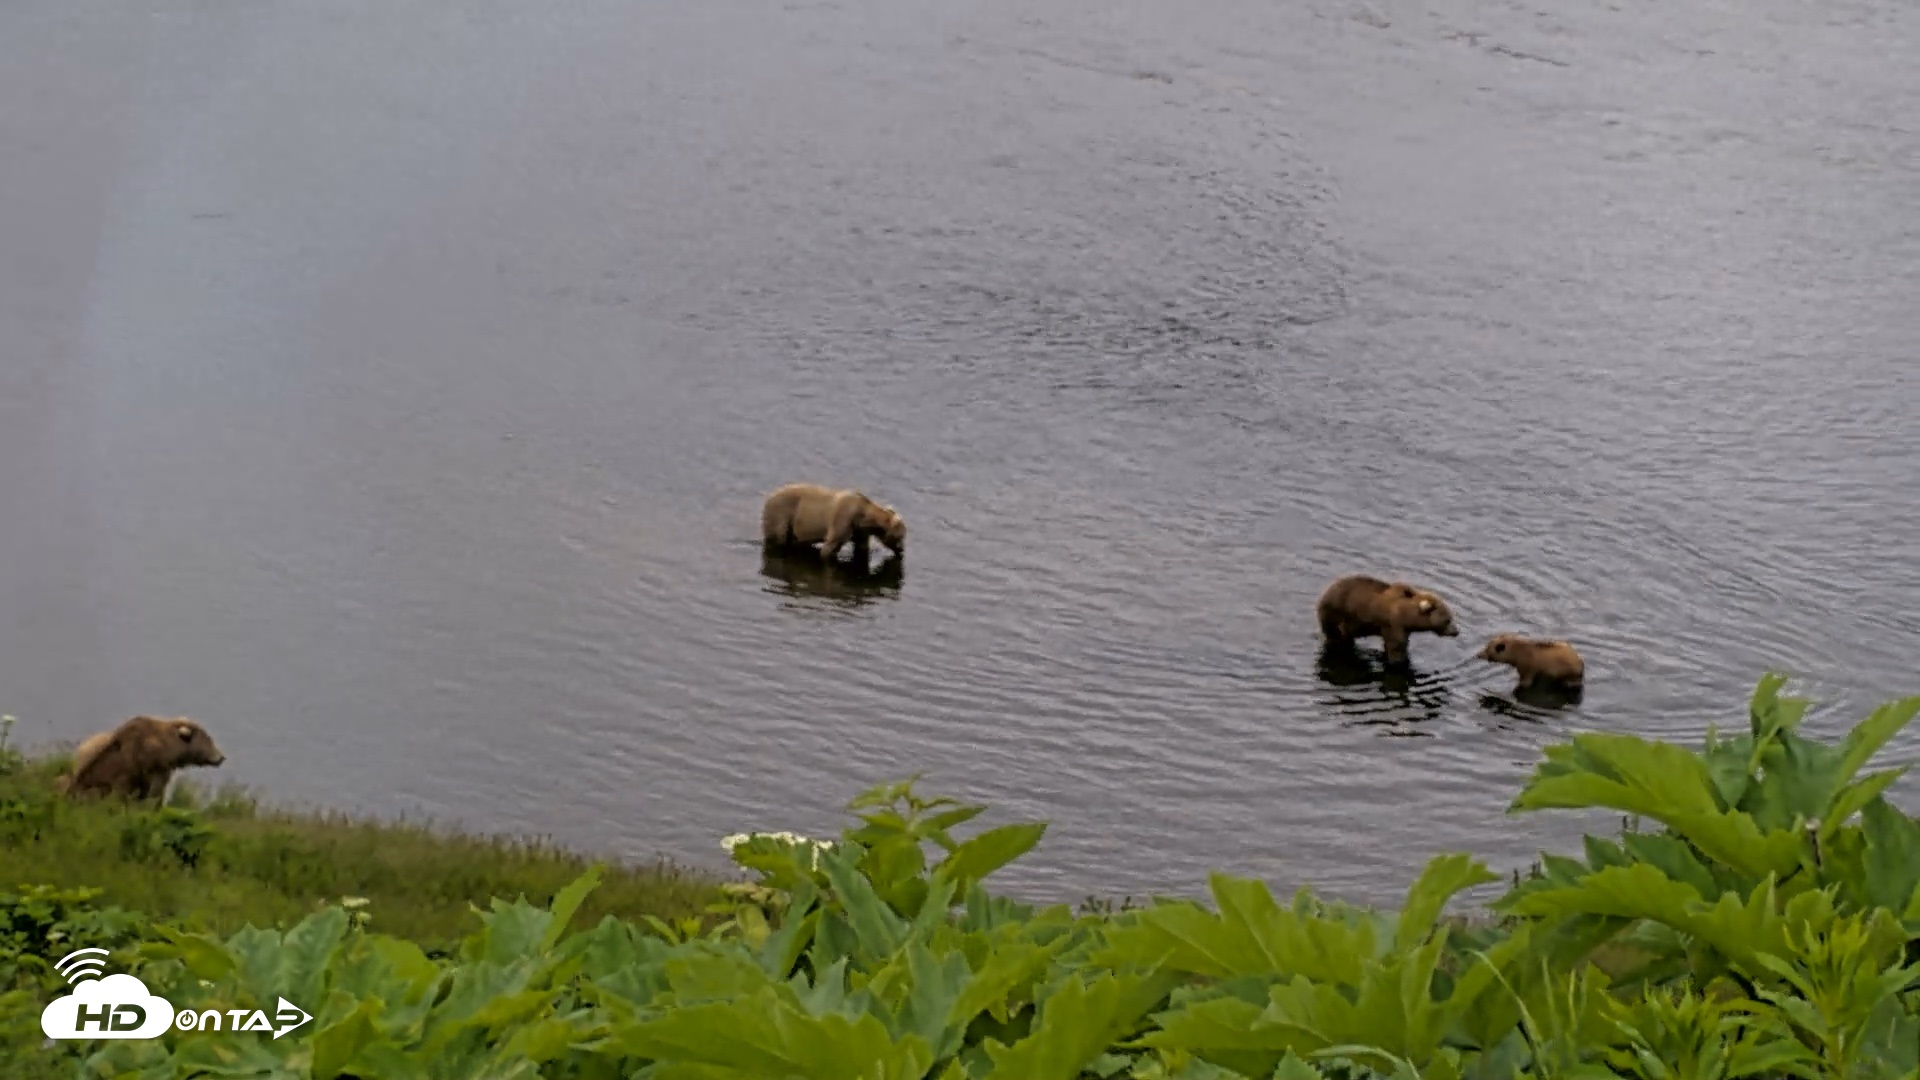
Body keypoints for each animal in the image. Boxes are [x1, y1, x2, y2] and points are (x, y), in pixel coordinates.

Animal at [760, 482, 906, 565]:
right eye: (900, 536)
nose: (901, 549)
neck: (863, 516)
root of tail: (768, 496)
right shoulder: (843, 520)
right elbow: (830, 546)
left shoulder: (860, 530)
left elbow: (861, 548)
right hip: (782, 513)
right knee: (778, 538)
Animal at [1315, 574, 1460, 666]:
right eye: (1447, 620)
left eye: (1452, 617)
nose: (1456, 631)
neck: (1407, 616)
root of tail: (1326, 591)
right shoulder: (1394, 625)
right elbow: (1396, 647)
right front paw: (1399, 662)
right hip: (1337, 612)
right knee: (1337, 634)